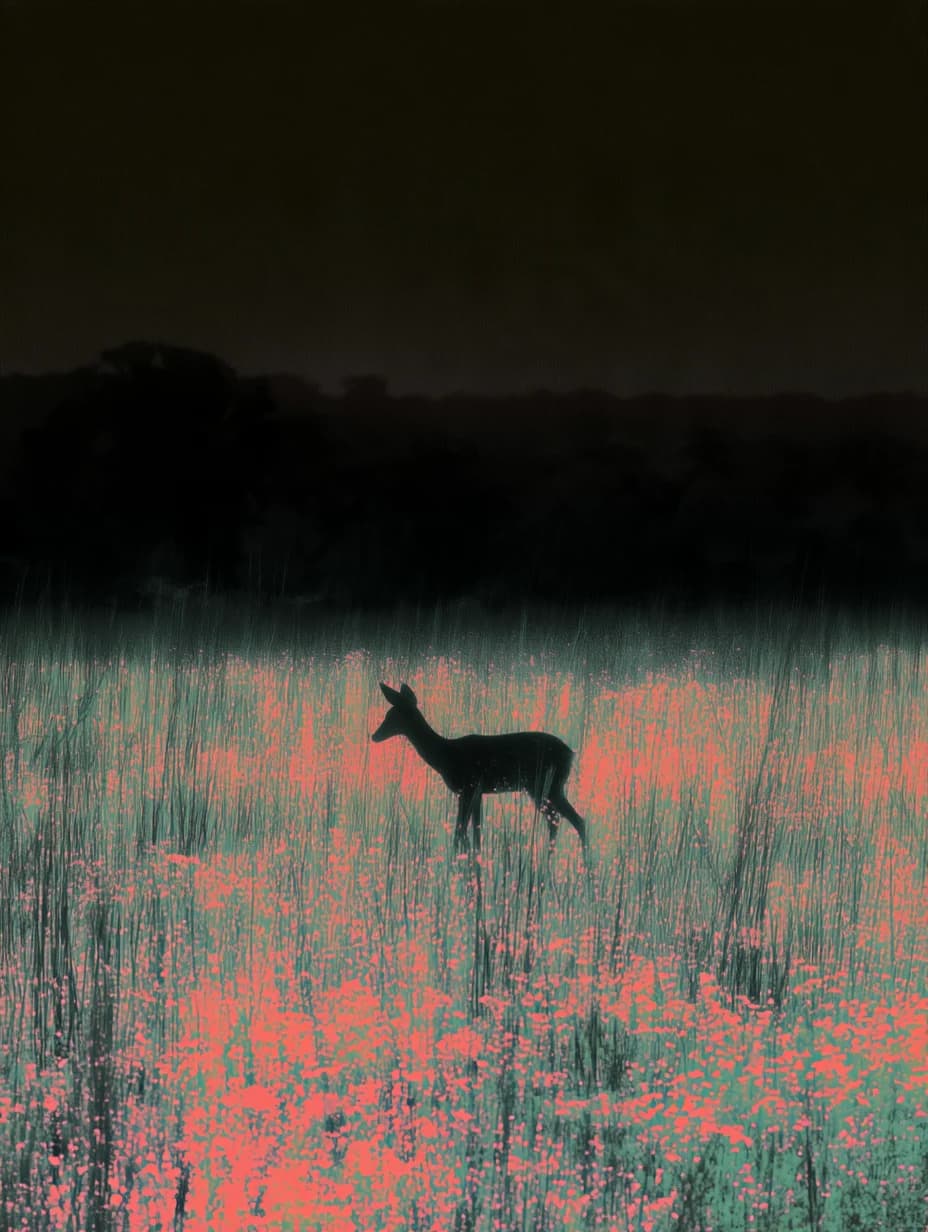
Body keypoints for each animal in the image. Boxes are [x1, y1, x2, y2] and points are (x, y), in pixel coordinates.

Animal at [371, 682, 588, 856]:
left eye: (392, 716)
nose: (374, 735)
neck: (445, 755)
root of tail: (570, 754)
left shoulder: (468, 787)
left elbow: (460, 830)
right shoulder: (477, 792)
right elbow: (474, 832)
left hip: (545, 785)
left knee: (571, 819)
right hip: (547, 787)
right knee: (560, 819)